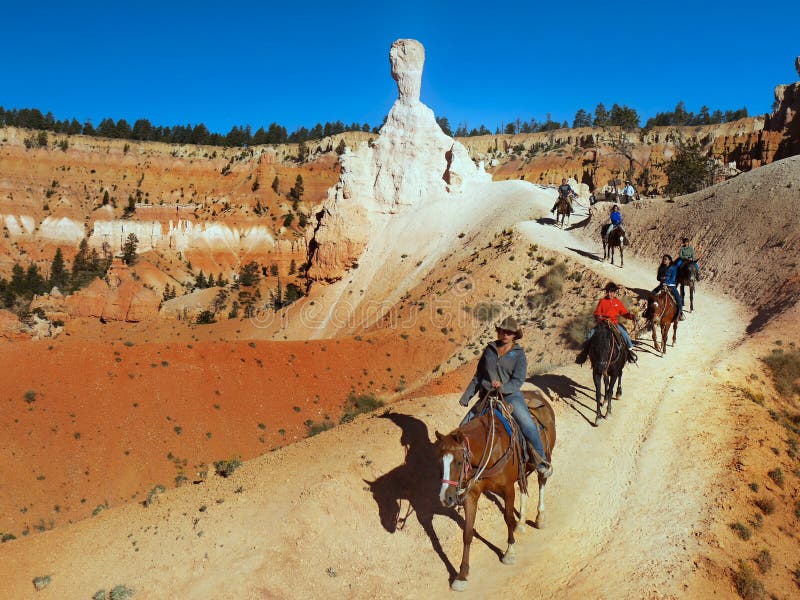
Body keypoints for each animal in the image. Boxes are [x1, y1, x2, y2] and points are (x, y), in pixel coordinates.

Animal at [432, 390, 556, 592]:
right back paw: (522, 523)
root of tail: (536, 394)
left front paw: (509, 553)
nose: (446, 498)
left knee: (541, 481)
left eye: (458, 462)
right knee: (523, 486)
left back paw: (540, 518)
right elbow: (467, 533)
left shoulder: (507, 490)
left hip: (545, 456)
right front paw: (462, 575)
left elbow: (507, 518)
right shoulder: (471, 495)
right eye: (439, 461)